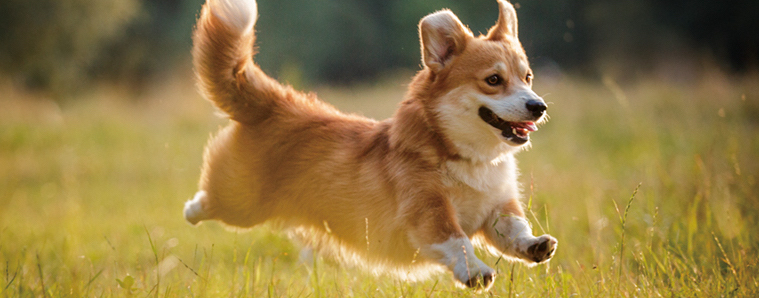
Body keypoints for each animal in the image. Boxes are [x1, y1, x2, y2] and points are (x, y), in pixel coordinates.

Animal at [186, 0, 560, 290]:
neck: (469, 157)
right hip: (240, 203)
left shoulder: (497, 207)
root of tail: (276, 102)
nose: (538, 106)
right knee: (207, 202)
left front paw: (535, 245)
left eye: (527, 77)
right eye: (493, 80)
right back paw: (192, 209)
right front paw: (477, 272)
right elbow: (459, 241)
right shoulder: (428, 211)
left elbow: (513, 230)